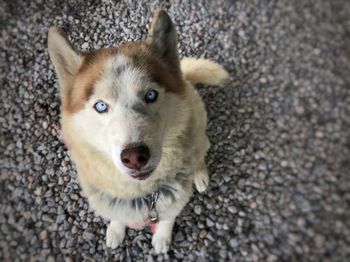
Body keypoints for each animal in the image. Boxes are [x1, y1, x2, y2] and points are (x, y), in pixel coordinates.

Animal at [47, 10, 228, 254]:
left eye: (151, 95)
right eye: (101, 106)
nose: (134, 157)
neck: (141, 193)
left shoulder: (173, 202)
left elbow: (167, 219)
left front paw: (162, 238)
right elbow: (117, 217)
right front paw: (116, 230)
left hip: (199, 131)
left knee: (200, 154)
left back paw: (199, 175)